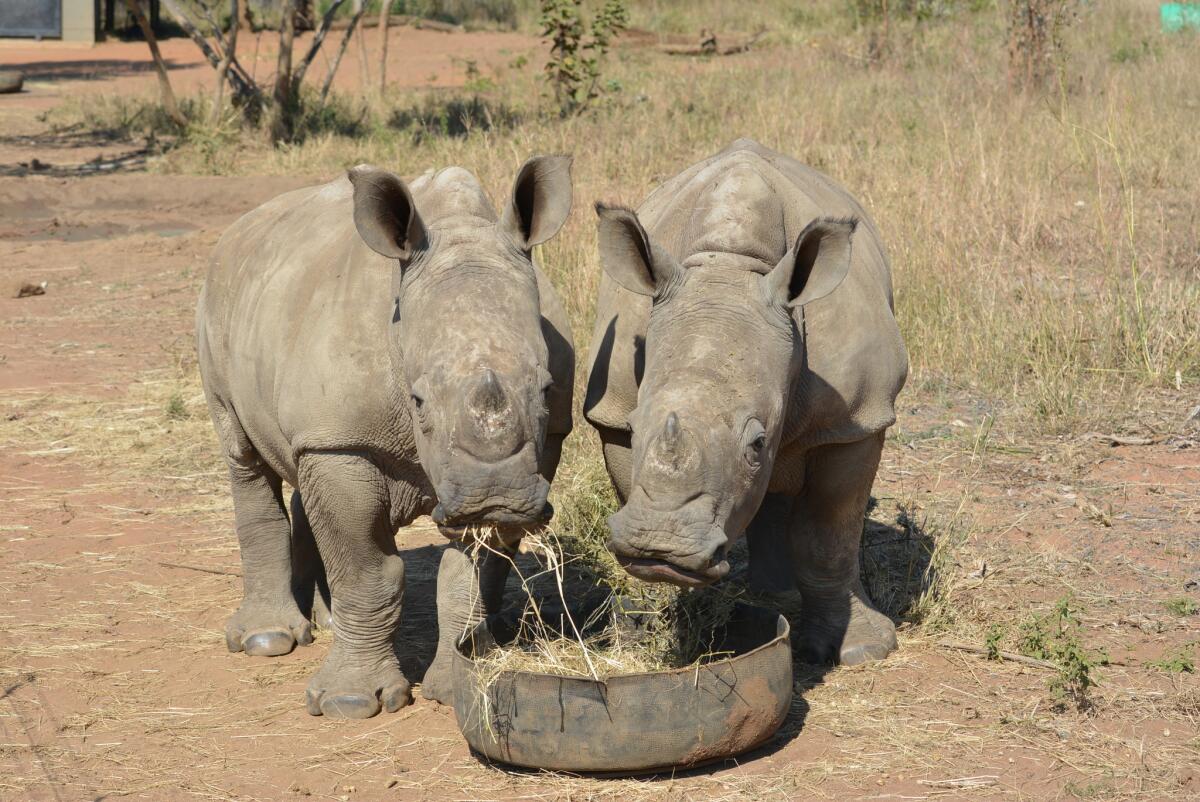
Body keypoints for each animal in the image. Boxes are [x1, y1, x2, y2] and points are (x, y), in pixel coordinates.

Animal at [195, 154, 571, 715]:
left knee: (301, 468)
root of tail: (239, 228)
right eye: (417, 401)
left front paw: (457, 683)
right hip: (215, 304)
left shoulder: (538, 449)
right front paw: (350, 702)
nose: (494, 496)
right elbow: (367, 570)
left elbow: (470, 573)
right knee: (245, 457)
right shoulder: (342, 440)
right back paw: (268, 640)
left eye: (545, 388)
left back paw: (325, 623)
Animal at [585, 138, 902, 662]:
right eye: (633, 426)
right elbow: (633, 488)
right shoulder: (612, 408)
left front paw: (859, 649)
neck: (729, 266)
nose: (662, 548)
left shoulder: (855, 418)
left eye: (756, 444)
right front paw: (661, 620)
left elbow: (830, 533)